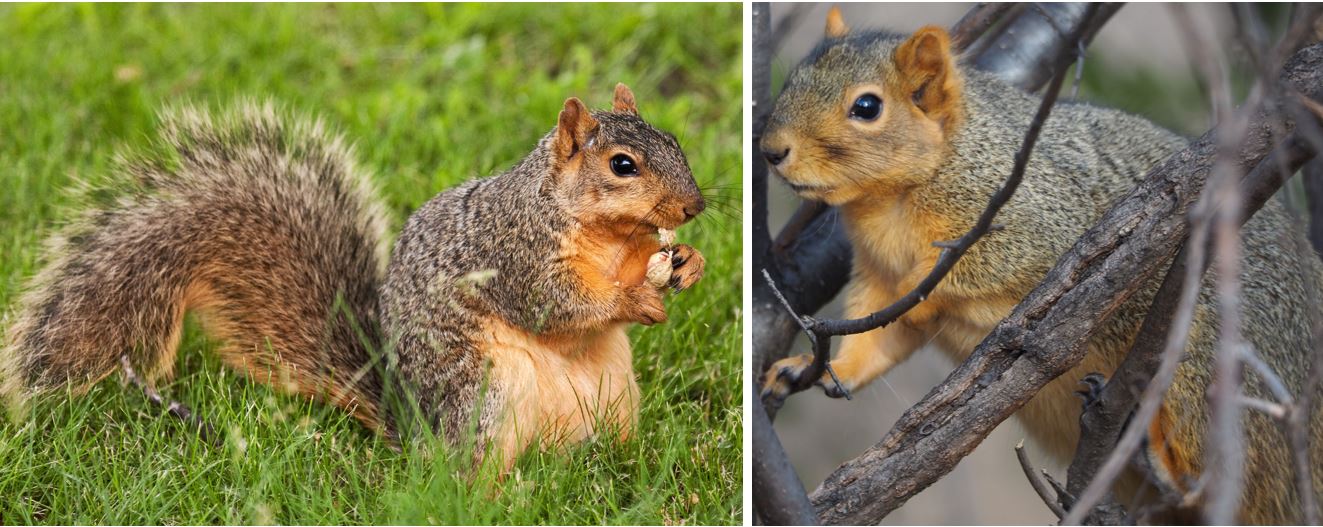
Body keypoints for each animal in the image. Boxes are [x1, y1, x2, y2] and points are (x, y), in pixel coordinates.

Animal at [0, 83, 707, 469]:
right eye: (622, 165)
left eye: (676, 141)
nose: (695, 206)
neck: (602, 233)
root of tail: (415, 432)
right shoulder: (515, 254)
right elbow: (554, 305)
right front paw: (637, 297)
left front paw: (686, 262)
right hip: (484, 394)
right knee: (471, 475)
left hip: (613, 396)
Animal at [759, 11, 1323, 524]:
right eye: (791, 81)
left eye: (867, 106)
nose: (770, 150)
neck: (887, 203)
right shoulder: (876, 276)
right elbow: (878, 335)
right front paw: (810, 367)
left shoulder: (1035, 219)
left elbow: (987, 265)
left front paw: (922, 285)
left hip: (1205, 360)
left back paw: (1167, 466)